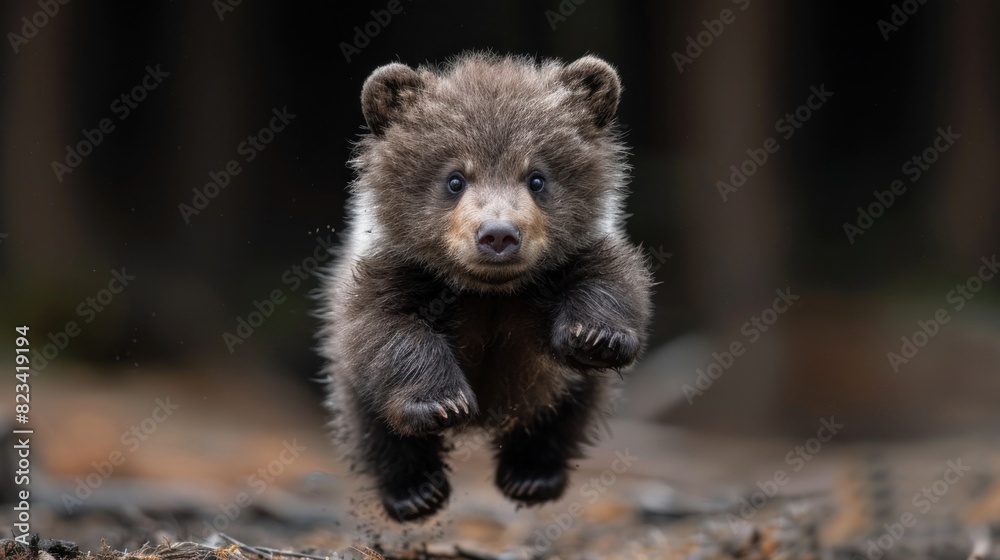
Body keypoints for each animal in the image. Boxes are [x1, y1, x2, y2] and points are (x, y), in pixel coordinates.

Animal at [319, 53, 653, 523]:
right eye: (455, 179)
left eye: (536, 178)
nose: (498, 235)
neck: (488, 291)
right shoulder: (396, 273)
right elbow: (388, 329)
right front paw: (442, 403)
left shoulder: (567, 264)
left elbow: (611, 282)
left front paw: (597, 336)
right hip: (351, 383)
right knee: (371, 424)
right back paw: (416, 492)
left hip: (564, 391)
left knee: (567, 409)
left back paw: (531, 475)